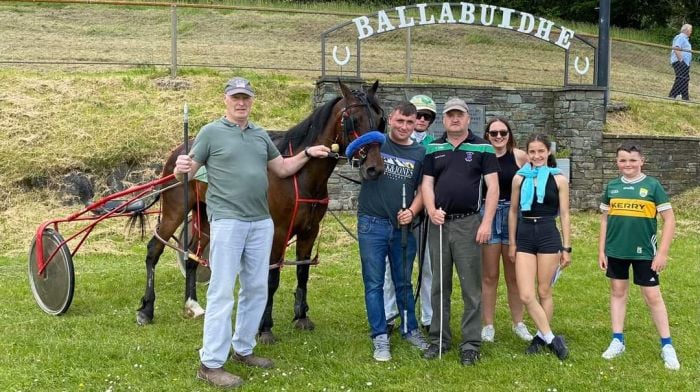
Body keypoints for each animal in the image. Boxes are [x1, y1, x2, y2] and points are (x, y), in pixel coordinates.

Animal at [135, 80, 388, 344]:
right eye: (354, 120)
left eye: (381, 120)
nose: (374, 168)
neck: (299, 176)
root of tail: (181, 151)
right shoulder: (277, 232)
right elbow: (272, 278)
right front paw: (265, 327)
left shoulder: (309, 231)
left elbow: (303, 271)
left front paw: (301, 316)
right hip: (176, 210)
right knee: (154, 249)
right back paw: (146, 309)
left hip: (205, 215)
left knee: (193, 255)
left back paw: (192, 303)